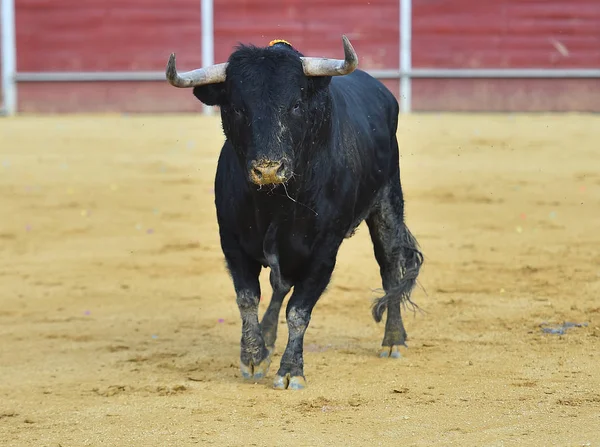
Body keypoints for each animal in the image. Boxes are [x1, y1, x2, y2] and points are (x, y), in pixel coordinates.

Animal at [166, 36, 424, 390]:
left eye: (296, 105)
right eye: (237, 108)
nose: (268, 169)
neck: (274, 202)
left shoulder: (323, 252)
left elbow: (299, 311)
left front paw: (290, 370)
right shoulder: (232, 243)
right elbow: (247, 298)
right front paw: (253, 357)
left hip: (386, 205)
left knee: (390, 269)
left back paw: (393, 340)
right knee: (279, 285)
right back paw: (268, 337)